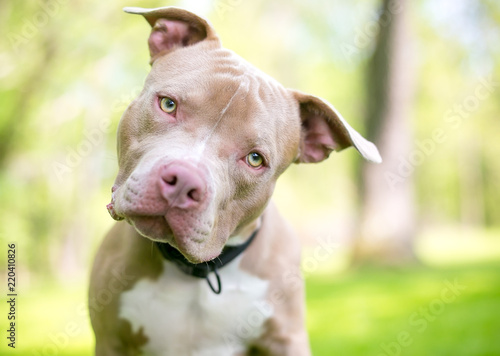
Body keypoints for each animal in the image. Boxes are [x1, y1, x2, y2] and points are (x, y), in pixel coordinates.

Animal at [89, 6, 378, 356]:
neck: (198, 273)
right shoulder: (110, 339)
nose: (183, 182)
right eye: (168, 104)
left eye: (255, 159)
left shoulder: (287, 339)